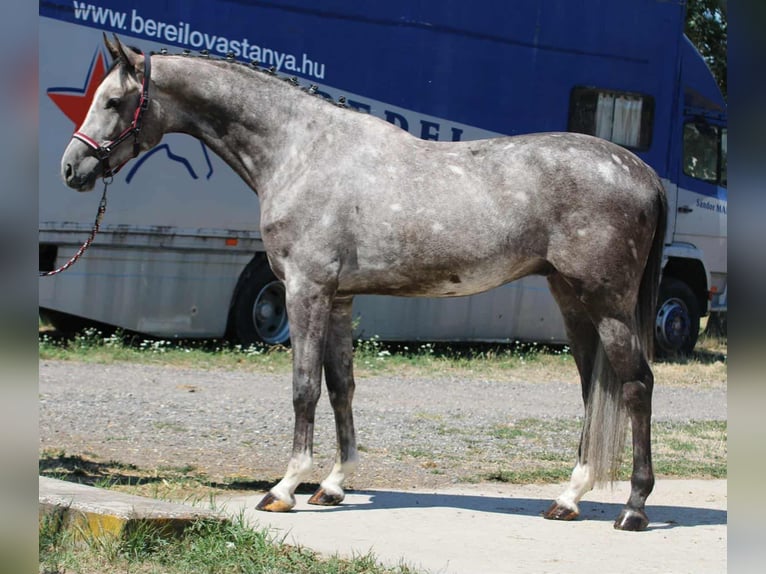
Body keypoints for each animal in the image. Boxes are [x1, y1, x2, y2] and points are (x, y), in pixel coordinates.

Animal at [61, 35, 667, 531]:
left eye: (113, 102)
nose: (72, 169)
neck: (301, 149)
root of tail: (644, 173)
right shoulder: (339, 298)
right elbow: (341, 387)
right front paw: (332, 485)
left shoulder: (305, 290)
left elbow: (304, 386)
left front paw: (285, 487)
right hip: (572, 299)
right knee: (593, 389)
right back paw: (568, 498)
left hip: (607, 303)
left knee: (636, 385)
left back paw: (634, 508)